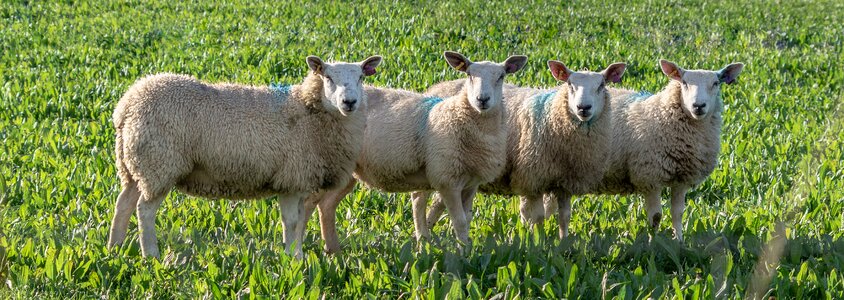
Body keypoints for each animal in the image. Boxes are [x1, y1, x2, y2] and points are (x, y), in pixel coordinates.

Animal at [107, 54, 384, 258]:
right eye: (328, 77)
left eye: (361, 77)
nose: (349, 102)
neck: (309, 112)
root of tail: (127, 104)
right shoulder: (292, 178)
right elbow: (292, 222)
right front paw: (294, 261)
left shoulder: (296, 182)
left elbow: (296, 222)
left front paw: (295, 257)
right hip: (159, 164)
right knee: (144, 210)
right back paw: (150, 255)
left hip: (133, 165)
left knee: (123, 204)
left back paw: (115, 249)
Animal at [304, 51, 528, 253]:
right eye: (470, 75)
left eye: (501, 76)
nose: (482, 99)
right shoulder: (447, 180)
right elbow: (460, 221)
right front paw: (464, 255)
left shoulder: (470, 183)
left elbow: (467, 217)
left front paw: (465, 248)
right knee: (309, 203)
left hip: (346, 171)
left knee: (326, 205)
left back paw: (333, 251)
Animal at [428, 59, 628, 239]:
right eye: (570, 84)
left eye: (601, 85)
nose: (583, 107)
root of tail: (436, 88)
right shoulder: (533, 177)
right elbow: (537, 217)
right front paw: (537, 243)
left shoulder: (565, 180)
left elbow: (564, 217)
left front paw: (563, 244)